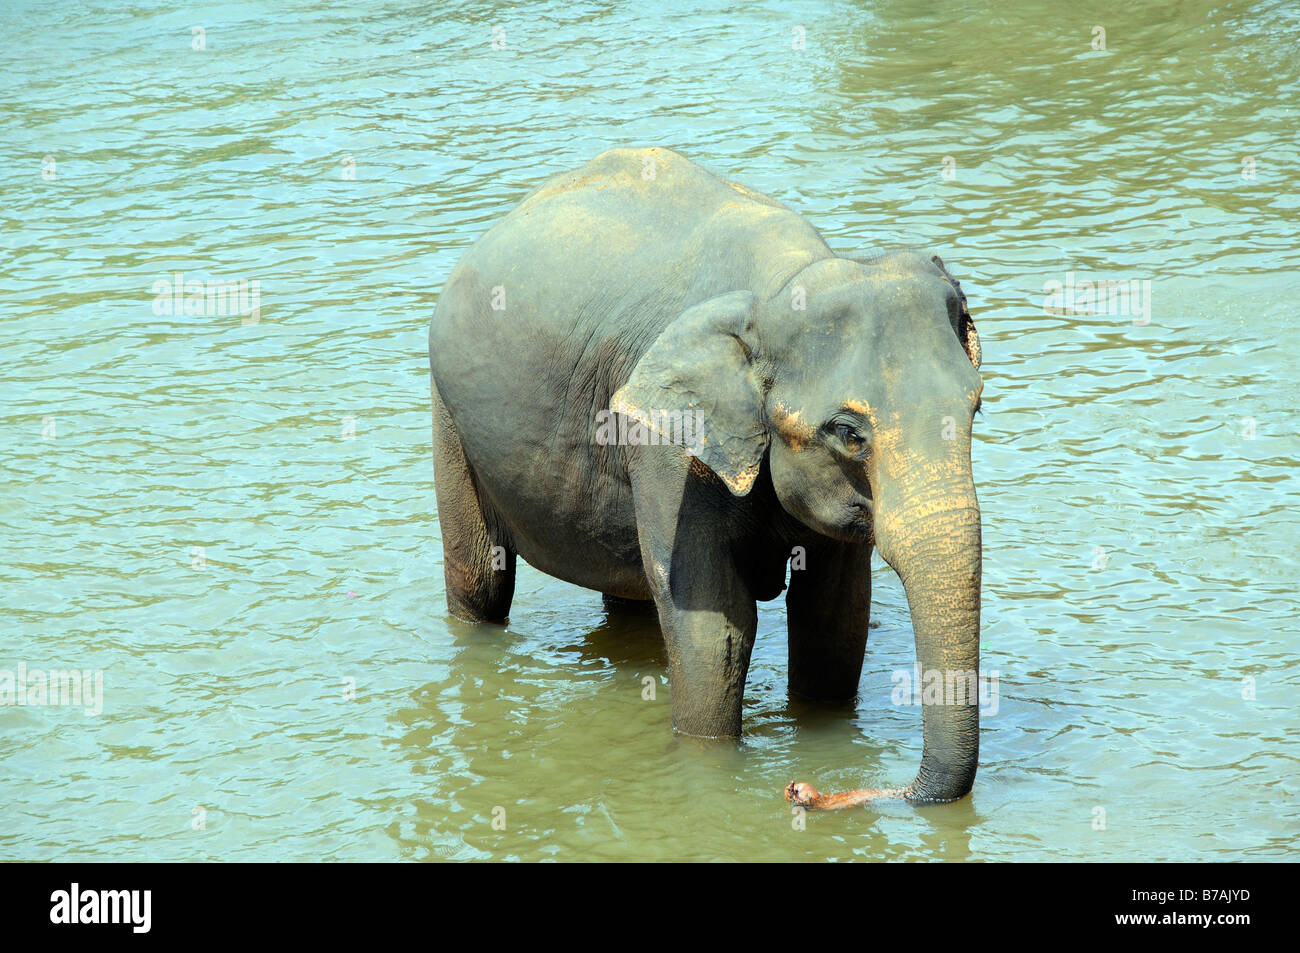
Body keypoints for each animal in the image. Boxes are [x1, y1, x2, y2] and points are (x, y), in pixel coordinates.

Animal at [428, 146, 982, 800]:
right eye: (848, 433)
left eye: (975, 408)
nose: (807, 791)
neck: (782, 288)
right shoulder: (667, 448)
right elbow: (715, 628)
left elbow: (834, 619)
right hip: (450, 414)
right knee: (480, 580)